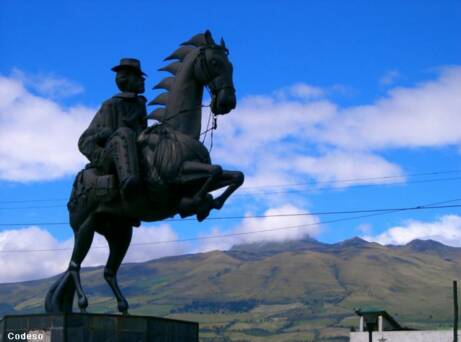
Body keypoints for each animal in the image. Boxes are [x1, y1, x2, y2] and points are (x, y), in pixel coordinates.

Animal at [45, 32, 243, 316]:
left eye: (231, 65)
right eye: (215, 63)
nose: (227, 103)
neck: (179, 134)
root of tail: (76, 187)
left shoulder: (194, 176)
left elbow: (235, 175)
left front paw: (207, 204)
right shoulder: (174, 179)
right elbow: (215, 172)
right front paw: (194, 203)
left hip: (119, 232)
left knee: (107, 271)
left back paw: (123, 307)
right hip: (84, 226)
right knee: (74, 266)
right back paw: (82, 303)